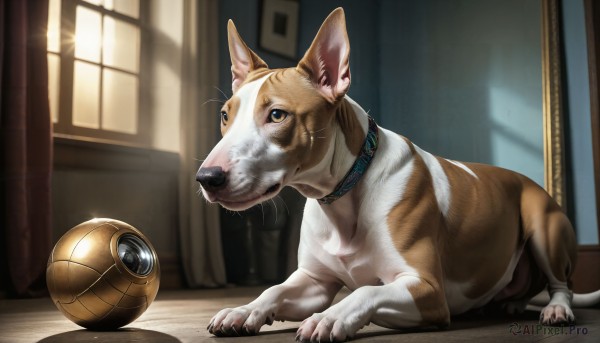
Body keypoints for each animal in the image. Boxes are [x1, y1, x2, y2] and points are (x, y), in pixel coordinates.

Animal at [196, 6, 596, 342]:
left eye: (277, 115)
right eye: (225, 115)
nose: (207, 177)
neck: (345, 193)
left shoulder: (427, 289)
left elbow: (365, 290)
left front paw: (330, 317)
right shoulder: (314, 281)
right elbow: (274, 289)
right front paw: (244, 310)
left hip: (543, 225)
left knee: (563, 285)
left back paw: (556, 310)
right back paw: (510, 302)